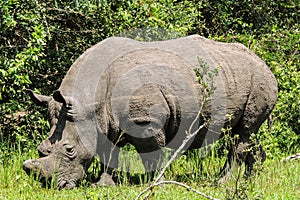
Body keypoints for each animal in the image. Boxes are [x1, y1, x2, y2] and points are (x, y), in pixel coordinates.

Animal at [22, 35, 276, 190]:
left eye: (70, 150)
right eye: (41, 149)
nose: (55, 186)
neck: (90, 101)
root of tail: (263, 61)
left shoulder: (145, 121)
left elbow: (151, 153)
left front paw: (156, 184)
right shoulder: (102, 121)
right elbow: (107, 153)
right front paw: (102, 186)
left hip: (258, 79)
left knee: (242, 134)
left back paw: (222, 183)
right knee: (246, 132)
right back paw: (251, 179)